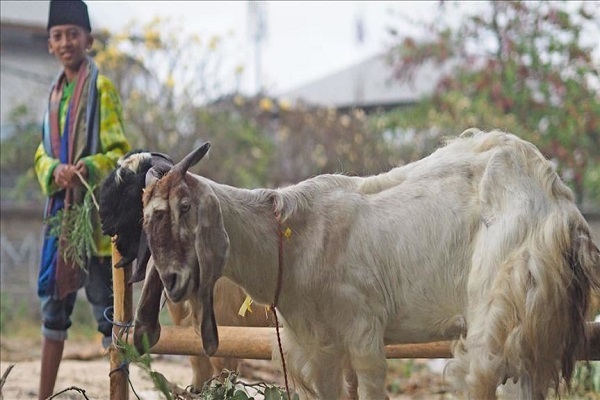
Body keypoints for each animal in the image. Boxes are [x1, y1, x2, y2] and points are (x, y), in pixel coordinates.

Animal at [136, 130, 600, 398]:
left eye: (184, 206)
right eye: (144, 217)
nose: (172, 280)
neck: (295, 239)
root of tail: (559, 202)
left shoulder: (363, 332)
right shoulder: (318, 345)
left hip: (499, 305)